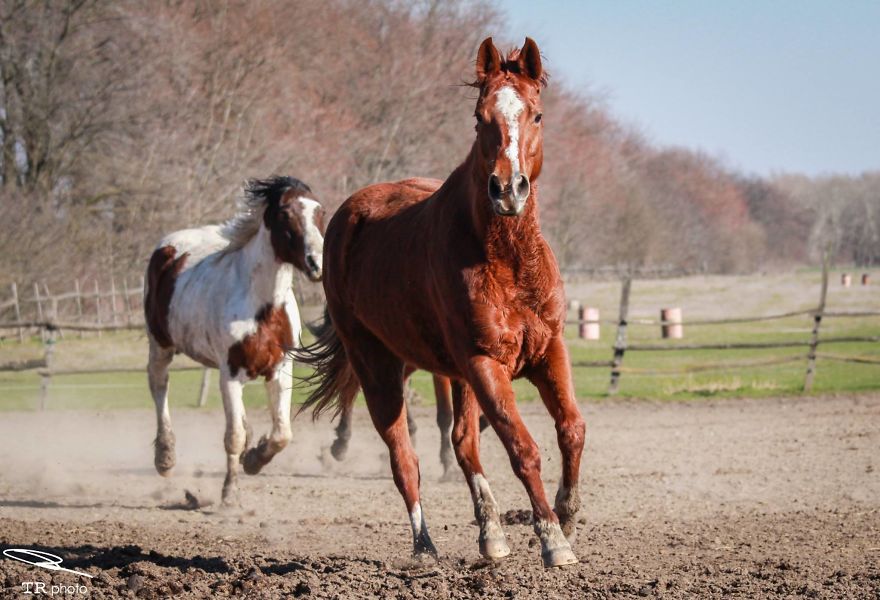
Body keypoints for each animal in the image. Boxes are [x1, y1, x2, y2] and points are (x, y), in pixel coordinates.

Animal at [144, 175, 326, 505]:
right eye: (285, 214)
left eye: (321, 211)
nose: (317, 263)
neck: (263, 307)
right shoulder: (230, 373)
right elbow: (233, 437)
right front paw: (230, 493)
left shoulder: (281, 370)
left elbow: (282, 433)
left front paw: (254, 458)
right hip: (160, 345)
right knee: (159, 386)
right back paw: (165, 458)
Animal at [296, 37, 585, 568]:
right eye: (479, 117)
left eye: (536, 115)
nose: (507, 189)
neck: (506, 260)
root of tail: (348, 216)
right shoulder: (485, 364)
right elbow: (522, 448)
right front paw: (552, 539)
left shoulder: (547, 350)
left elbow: (571, 428)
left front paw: (567, 515)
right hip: (381, 370)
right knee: (405, 460)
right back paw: (425, 547)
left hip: (450, 374)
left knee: (463, 443)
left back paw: (491, 536)